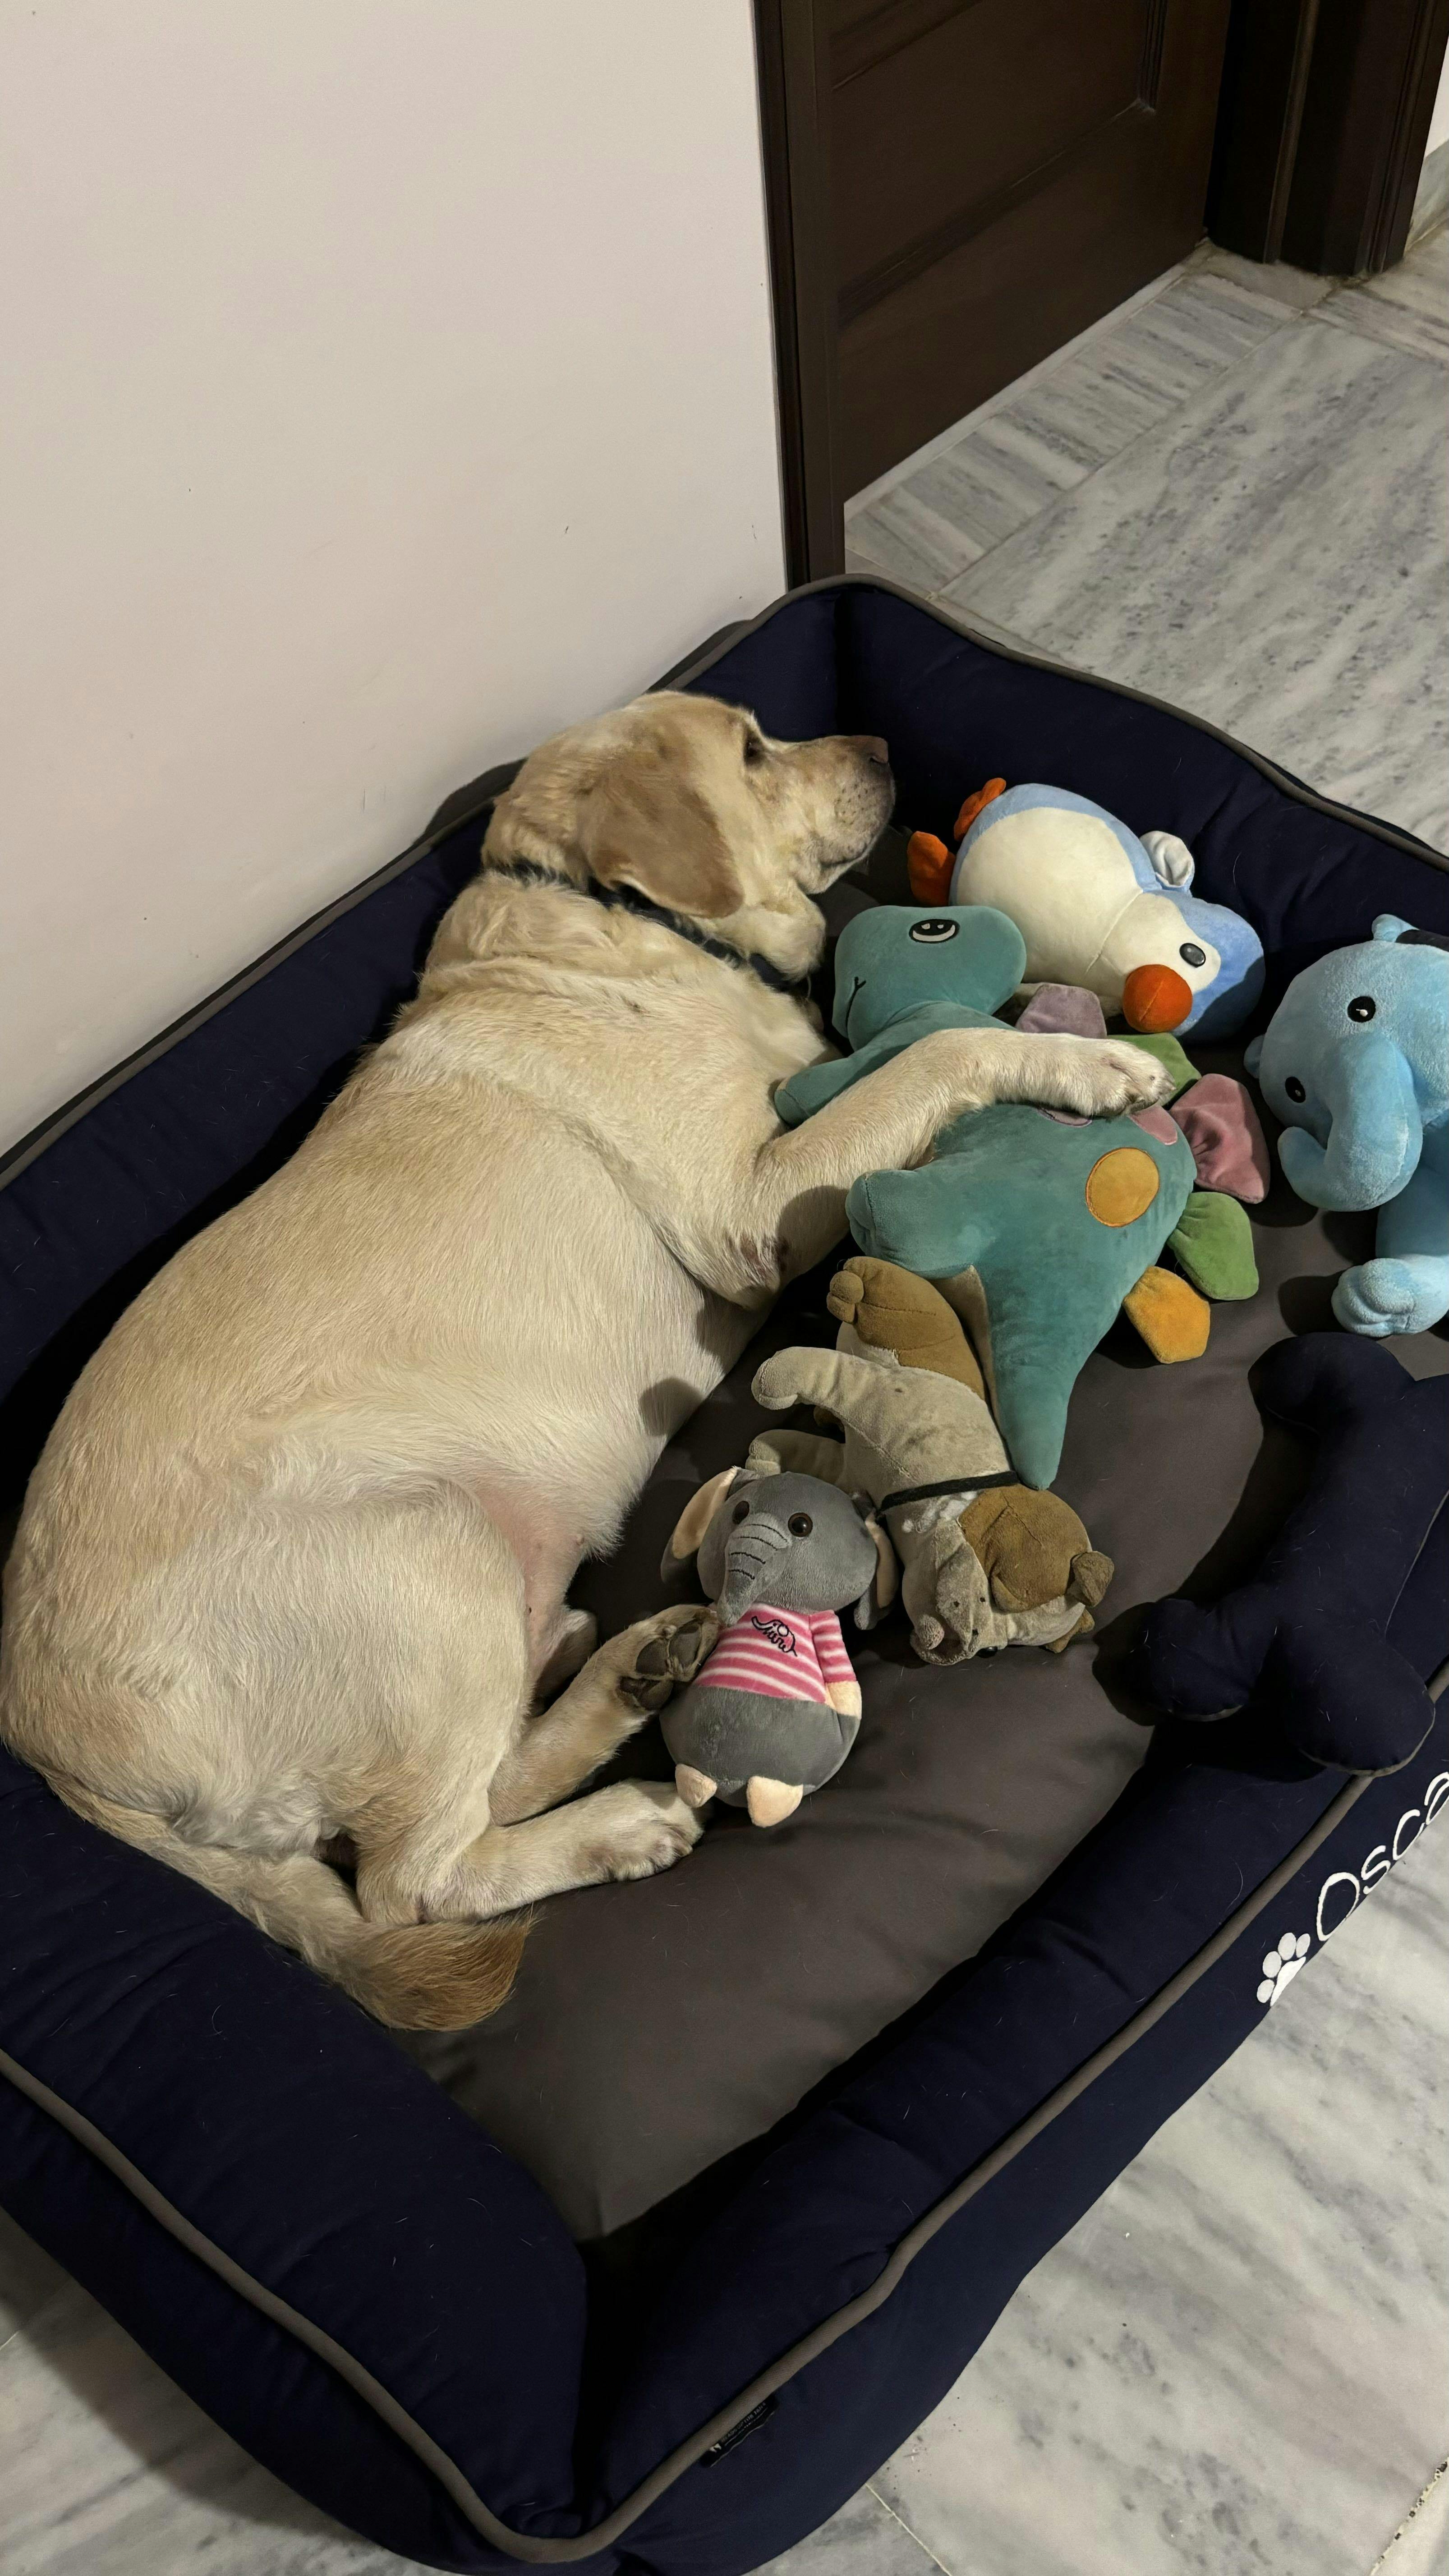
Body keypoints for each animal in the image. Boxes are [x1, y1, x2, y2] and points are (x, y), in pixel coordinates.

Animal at [0, 691, 1170, 2026]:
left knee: (476, 1790)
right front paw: (1089, 1065)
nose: (879, 747)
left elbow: (894, 1053)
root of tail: (55, 1759)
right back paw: (620, 1815)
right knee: (414, 1881)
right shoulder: (752, 1207)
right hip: (425, 1556)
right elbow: (937, 1053)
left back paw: (617, 1666)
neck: (624, 924)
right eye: (755, 748)